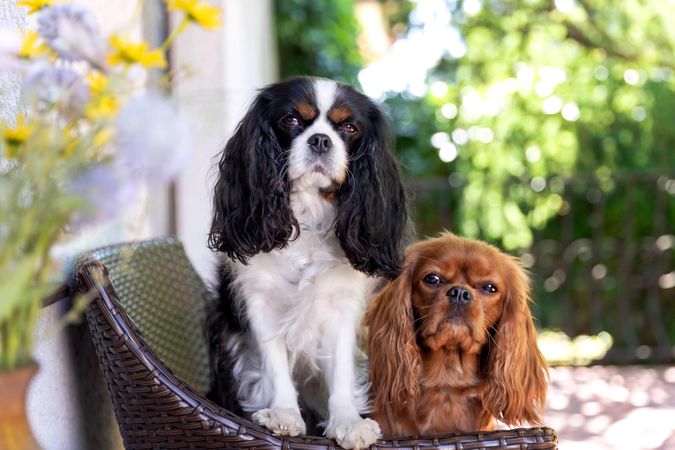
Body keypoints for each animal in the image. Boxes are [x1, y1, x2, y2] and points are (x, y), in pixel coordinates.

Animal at [206, 76, 406, 446]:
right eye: (291, 120)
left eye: (349, 128)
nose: (320, 140)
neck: (309, 212)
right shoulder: (260, 303)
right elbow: (274, 363)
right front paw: (284, 414)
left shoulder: (342, 306)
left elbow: (341, 369)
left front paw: (348, 421)